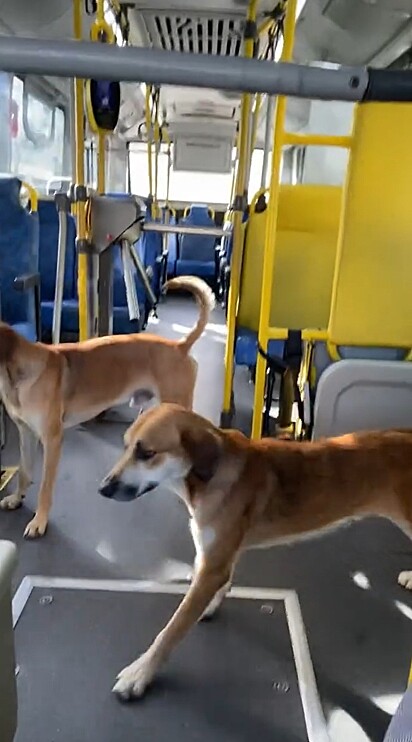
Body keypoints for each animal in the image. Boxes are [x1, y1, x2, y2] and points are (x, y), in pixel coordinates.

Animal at [0, 280, 214, 540]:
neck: (17, 377)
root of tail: (179, 346)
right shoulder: (26, 433)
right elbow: (24, 470)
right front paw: (16, 498)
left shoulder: (52, 440)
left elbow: (44, 487)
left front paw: (39, 520)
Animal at [99, 406, 412, 704]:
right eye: (126, 446)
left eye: (146, 453)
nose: (103, 488)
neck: (208, 476)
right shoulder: (217, 555)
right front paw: (210, 605)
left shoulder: (214, 566)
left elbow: (172, 629)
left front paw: (140, 673)